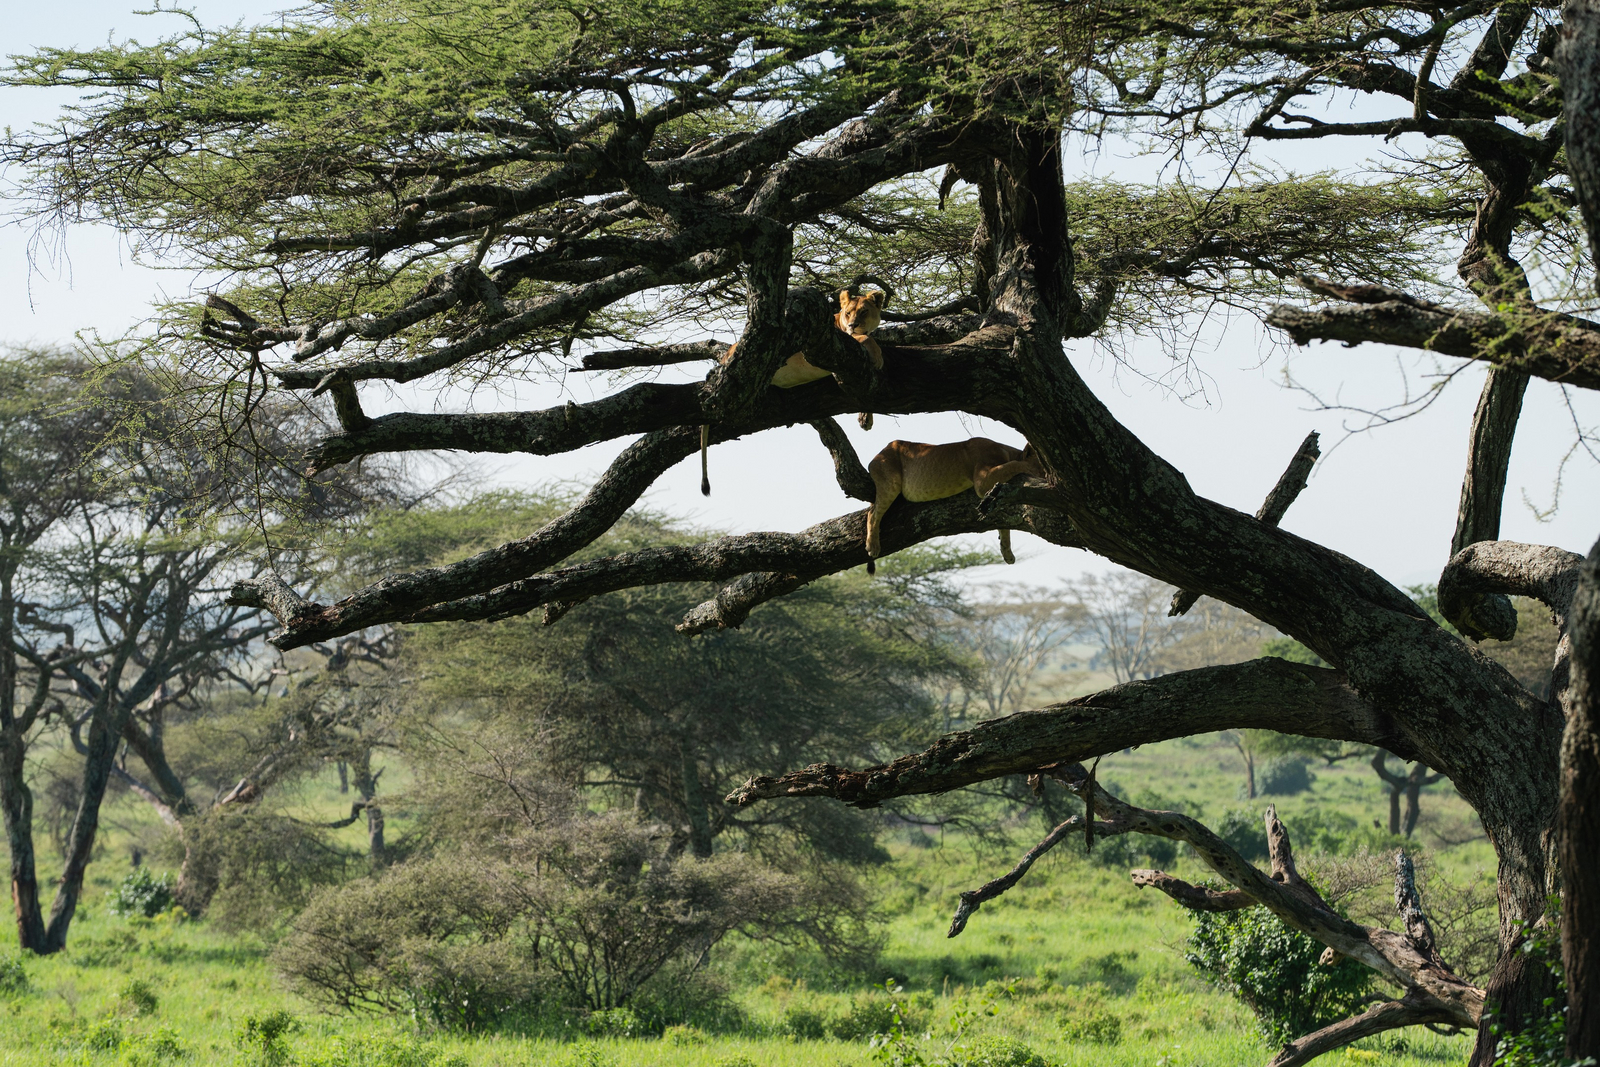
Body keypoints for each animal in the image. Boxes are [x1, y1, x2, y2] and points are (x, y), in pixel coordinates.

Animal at [700, 283, 888, 495]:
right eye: (848, 313)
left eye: (864, 312)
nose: (853, 324)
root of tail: (726, 356)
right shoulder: (844, 342)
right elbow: (869, 340)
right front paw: (878, 357)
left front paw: (865, 419)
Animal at [864, 437, 1044, 573]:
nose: (1049, 477)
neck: (1008, 452)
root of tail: (877, 455)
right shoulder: (982, 479)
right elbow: (1013, 465)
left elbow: (1003, 525)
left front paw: (1007, 552)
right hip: (889, 482)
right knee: (872, 513)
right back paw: (873, 545)